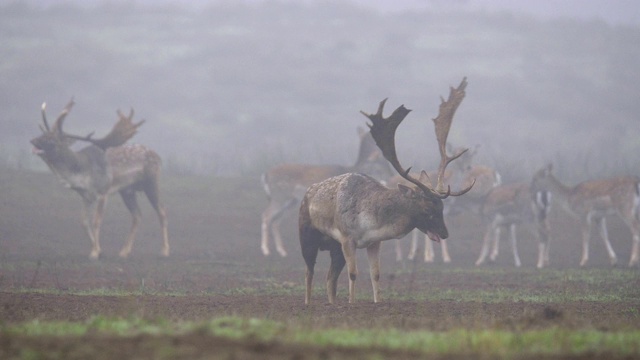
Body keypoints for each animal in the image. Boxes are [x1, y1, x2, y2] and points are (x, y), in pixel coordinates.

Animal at [29, 98, 170, 258]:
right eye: (43, 134)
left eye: (51, 139)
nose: (33, 140)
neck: (80, 173)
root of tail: (159, 157)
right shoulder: (85, 196)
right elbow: (84, 222)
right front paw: (98, 250)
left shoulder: (103, 191)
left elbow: (96, 221)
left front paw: (95, 252)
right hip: (127, 190)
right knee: (137, 215)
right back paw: (124, 251)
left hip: (151, 181)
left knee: (162, 211)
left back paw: (164, 250)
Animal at [258, 126, 390, 256]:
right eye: (381, 159)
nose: (390, 172)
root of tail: (266, 175)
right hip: (279, 196)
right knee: (266, 215)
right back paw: (265, 249)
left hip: (291, 201)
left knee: (275, 220)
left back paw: (281, 250)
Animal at [300, 76, 476, 304]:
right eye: (427, 208)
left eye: (442, 207)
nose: (445, 234)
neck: (371, 219)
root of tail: (307, 193)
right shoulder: (347, 239)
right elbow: (353, 273)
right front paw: (351, 303)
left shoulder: (374, 242)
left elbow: (375, 274)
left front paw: (378, 301)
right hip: (307, 238)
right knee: (309, 272)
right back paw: (308, 303)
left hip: (333, 248)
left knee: (330, 278)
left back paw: (332, 303)